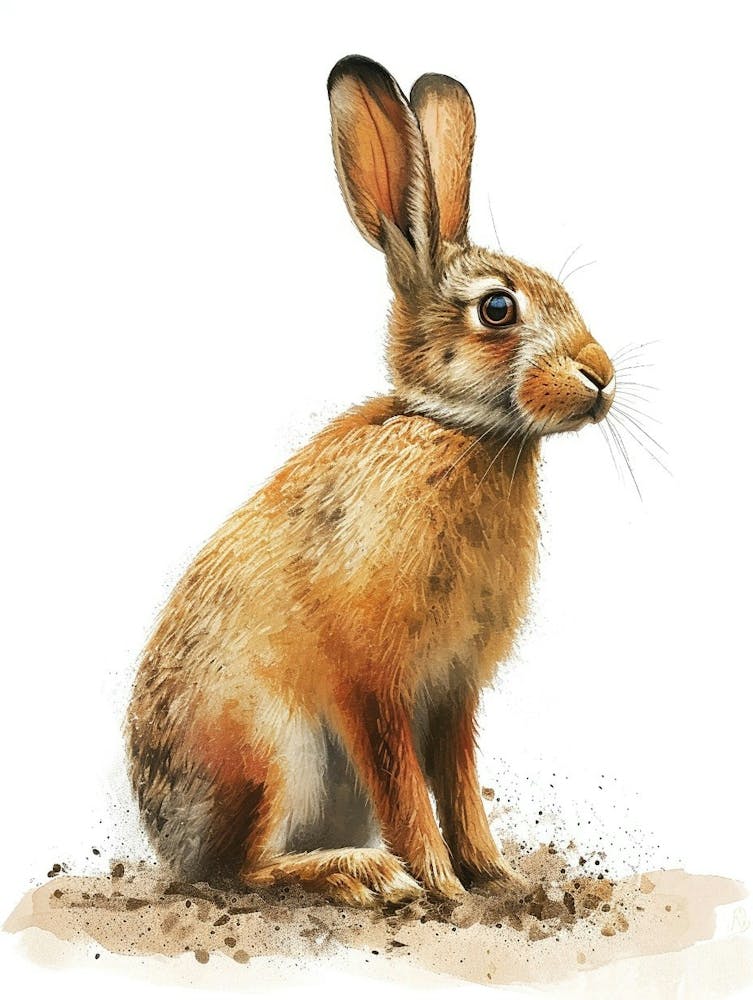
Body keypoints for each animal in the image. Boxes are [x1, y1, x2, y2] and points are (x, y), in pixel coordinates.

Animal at [127, 54, 616, 907]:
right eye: (497, 309)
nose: (601, 376)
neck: (460, 432)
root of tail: (168, 843)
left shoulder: (454, 688)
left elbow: (457, 781)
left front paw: (494, 876)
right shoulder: (371, 680)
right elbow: (403, 783)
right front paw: (441, 885)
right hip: (268, 753)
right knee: (240, 868)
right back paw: (362, 874)